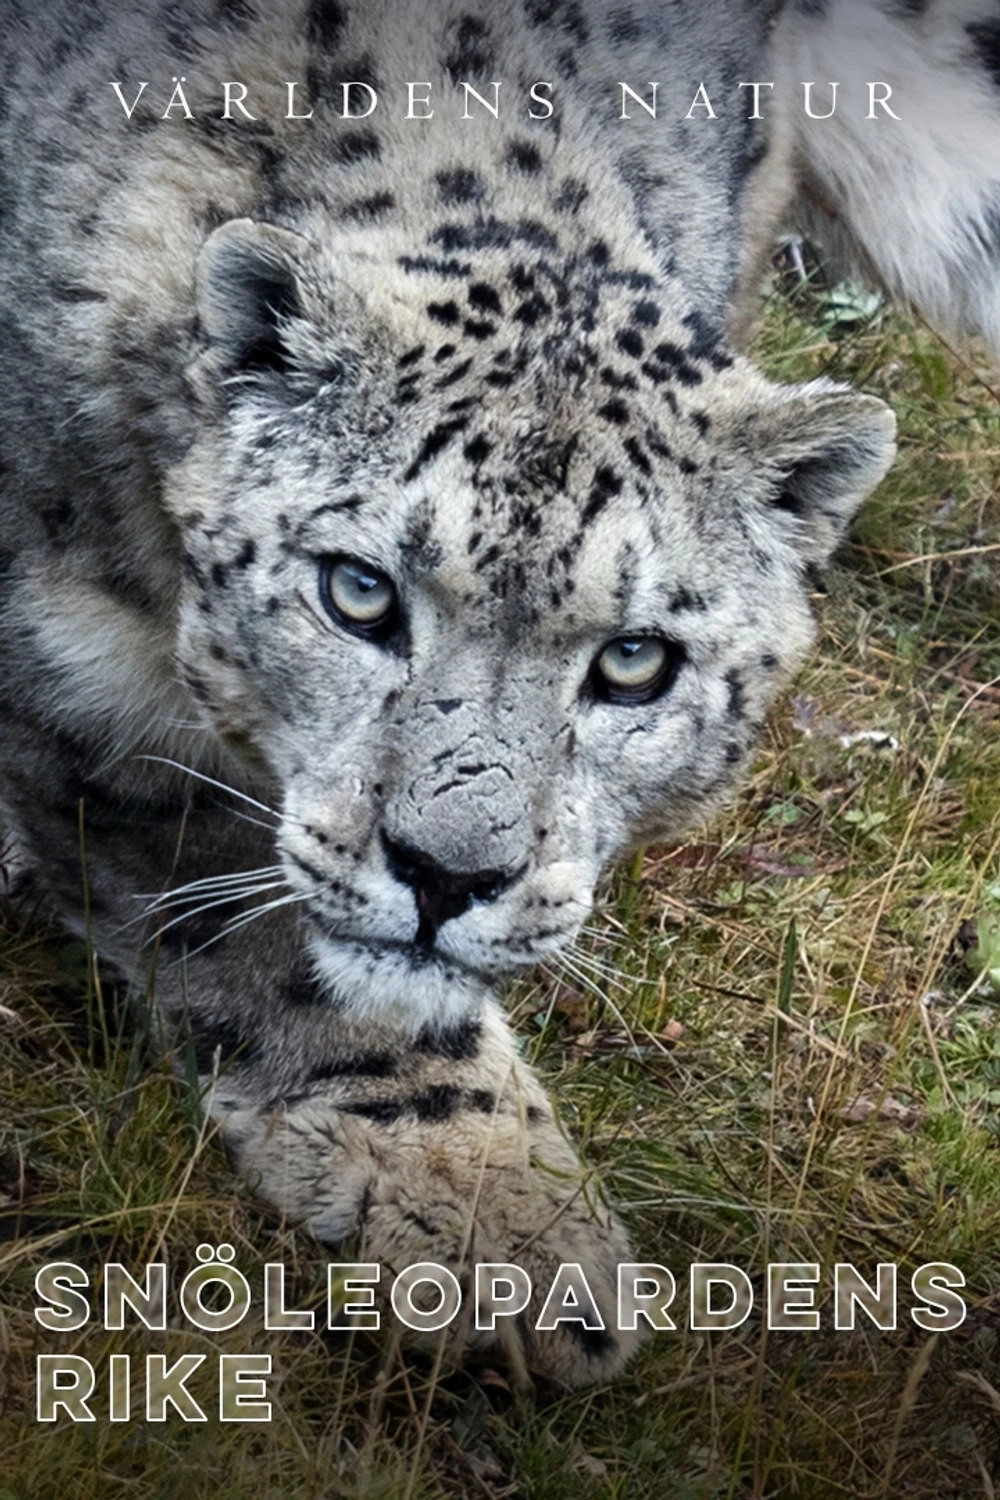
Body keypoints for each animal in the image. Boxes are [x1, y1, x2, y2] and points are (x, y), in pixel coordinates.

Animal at [1, 0, 998, 1388]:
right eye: (358, 589)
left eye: (634, 659)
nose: (445, 875)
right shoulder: (79, 681)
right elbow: (273, 944)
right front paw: (497, 1227)